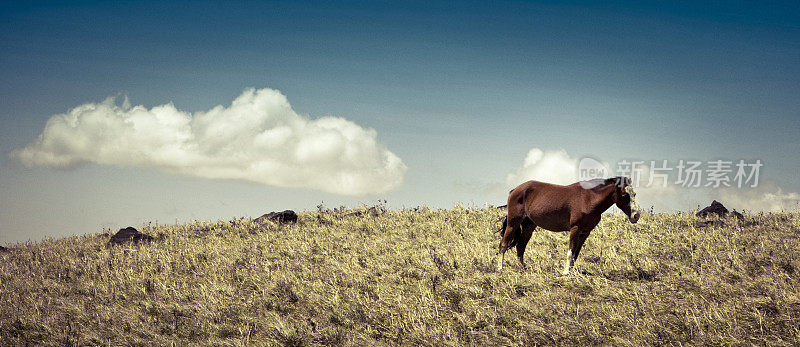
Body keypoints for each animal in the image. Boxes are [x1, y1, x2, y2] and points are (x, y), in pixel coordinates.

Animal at [496, 178, 640, 276]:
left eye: (634, 194)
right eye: (624, 195)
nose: (636, 215)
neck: (589, 199)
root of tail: (515, 190)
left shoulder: (585, 232)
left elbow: (576, 253)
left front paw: (573, 271)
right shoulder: (575, 229)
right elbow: (571, 251)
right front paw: (566, 272)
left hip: (528, 226)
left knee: (520, 247)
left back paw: (523, 269)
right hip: (513, 223)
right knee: (504, 244)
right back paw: (500, 268)